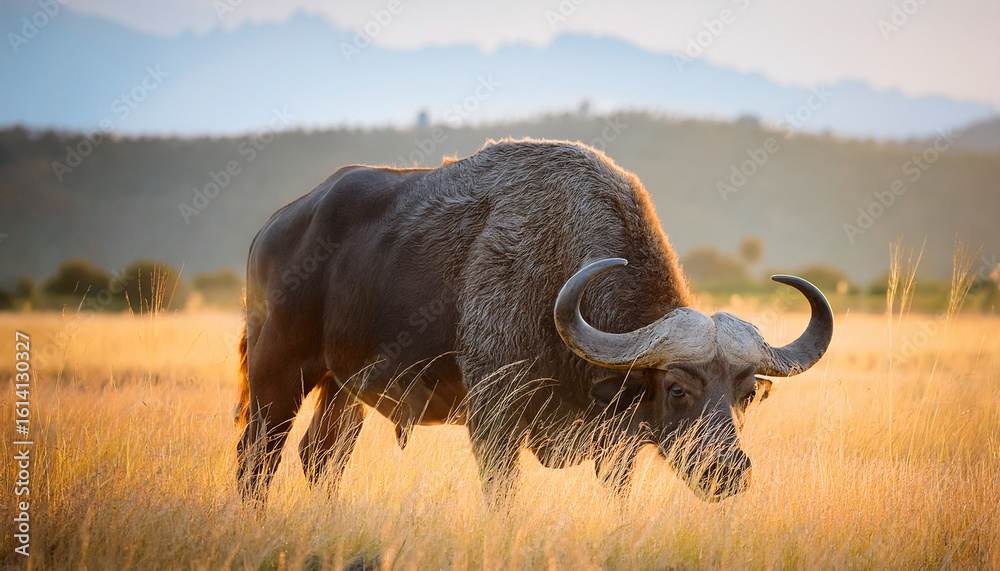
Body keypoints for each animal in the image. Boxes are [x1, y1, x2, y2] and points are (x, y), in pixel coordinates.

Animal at [235, 138, 833, 504]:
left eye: (745, 394)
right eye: (678, 389)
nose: (728, 472)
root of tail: (275, 226)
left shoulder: (616, 444)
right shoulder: (493, 419)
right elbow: (502, 495)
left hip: (343, 387)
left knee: (321, 458)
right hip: (278, 372)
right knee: (256, 457)